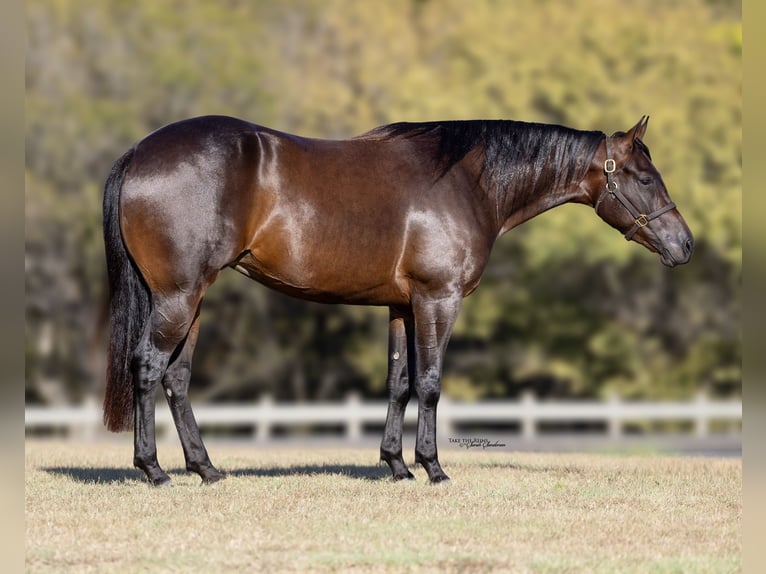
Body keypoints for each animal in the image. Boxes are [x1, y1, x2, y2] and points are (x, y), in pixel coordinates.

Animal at [102, 116, 696, 486]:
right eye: (645, 177)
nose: (685, 245)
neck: (467, 182)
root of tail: (139, 153)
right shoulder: (439, 300)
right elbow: (430, 384)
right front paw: (432, 468)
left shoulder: (401, 307)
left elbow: (398, 383)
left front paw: (395, 465)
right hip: (179, 297)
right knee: (148, 367)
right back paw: (153, 470)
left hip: (193, 300)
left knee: (177, 379)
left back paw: (206, 469)